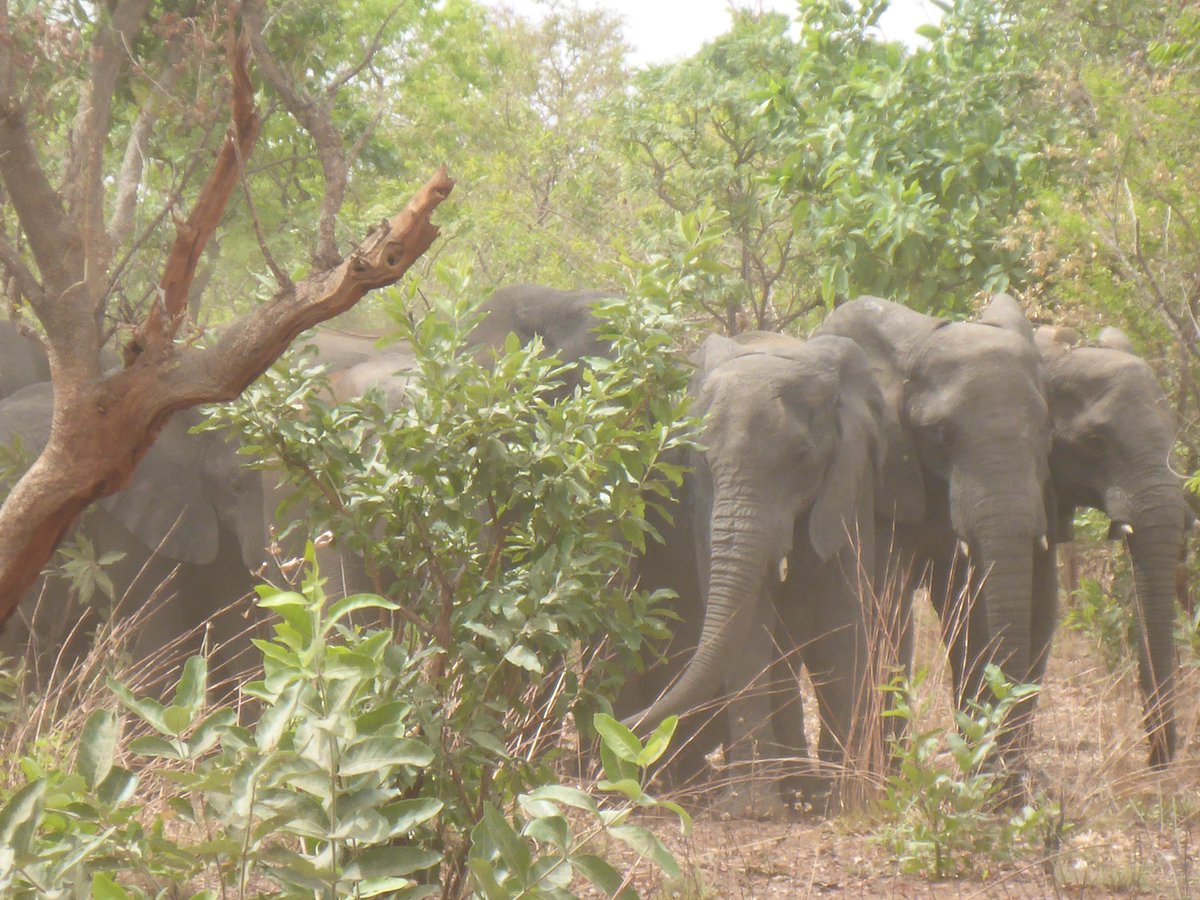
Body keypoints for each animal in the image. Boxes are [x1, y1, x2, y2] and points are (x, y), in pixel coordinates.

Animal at [623, 330, 889, 815]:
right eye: (701, 458)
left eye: (802, 455)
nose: (624, 725)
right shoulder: (703, 503)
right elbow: (747, 633)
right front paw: (750, 810)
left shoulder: (850, 479)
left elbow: (842, 621)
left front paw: (852, 800)